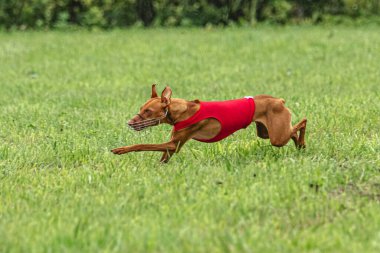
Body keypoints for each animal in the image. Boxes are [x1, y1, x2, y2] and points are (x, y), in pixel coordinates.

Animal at [111, 84, 308, 164]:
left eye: (148, 111)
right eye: (141, 108)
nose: (129, 123)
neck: (182, 111)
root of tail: (279, 100)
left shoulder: (174, 145)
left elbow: (141, 145)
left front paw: (120, 149)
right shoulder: (171, 148)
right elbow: (162, 159)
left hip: (276, 137)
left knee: (303, 122)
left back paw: (302, 143)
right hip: (265, 132)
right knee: (293, 131)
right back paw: (300, 145)